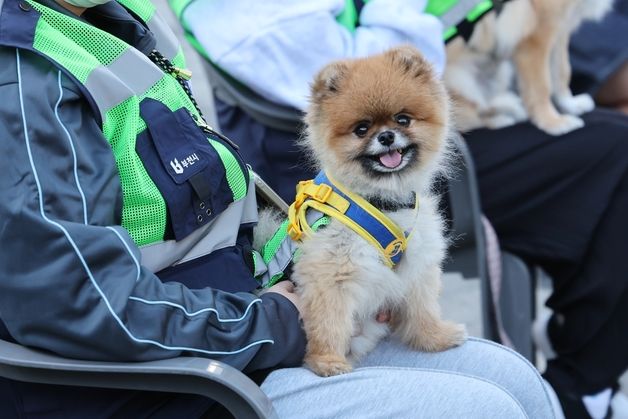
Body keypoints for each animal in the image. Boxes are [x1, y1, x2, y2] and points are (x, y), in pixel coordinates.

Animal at [256, 46, 466, 378]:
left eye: (403, 119)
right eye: (361, 129)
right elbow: (328, 324)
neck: (382, 203)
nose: (387, 136)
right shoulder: (330, 273)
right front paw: (327, 362)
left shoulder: (417, 265)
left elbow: (423, 308)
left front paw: (434, 338)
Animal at [446, 0, 612, 135]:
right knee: (464, 121)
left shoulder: (560, 30)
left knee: (482, 106)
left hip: (501, 73)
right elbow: (541, 86)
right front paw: (552, 121)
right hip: (461, 81)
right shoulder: (536, 40)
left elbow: (562, 72)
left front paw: (570, 105)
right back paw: (500, 119)